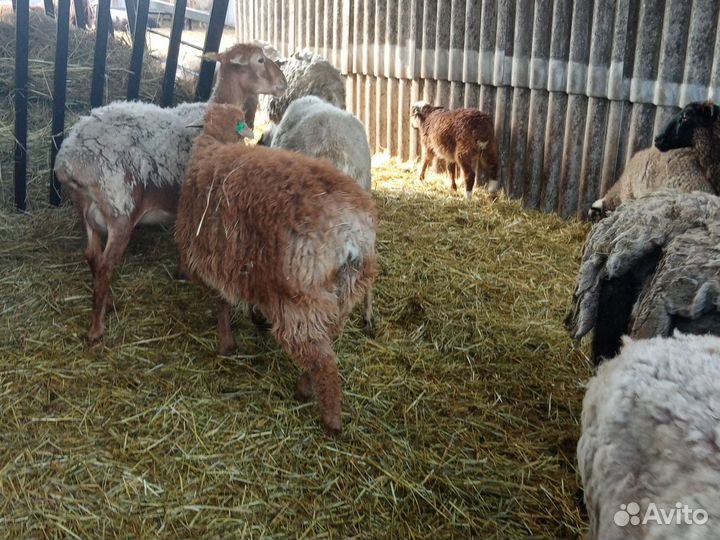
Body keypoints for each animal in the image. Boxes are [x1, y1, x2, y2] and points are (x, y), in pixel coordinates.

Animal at [54, 43, 287, 343]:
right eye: (260, 60)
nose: (283, 83)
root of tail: (72, 158)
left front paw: (182, 272)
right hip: (120, 209)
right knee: (105, 267)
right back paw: (97, 329)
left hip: (88, 212)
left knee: (91, 257)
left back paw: (107, 303)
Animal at [174, 103, 378, 435]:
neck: (213, 146)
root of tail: (350, 236)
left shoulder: (216, 258)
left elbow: (221, 302)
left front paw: (227, 344)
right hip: (345, 292)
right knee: (328, 341)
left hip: (299, 298)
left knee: (323, 359)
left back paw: (329, 418)